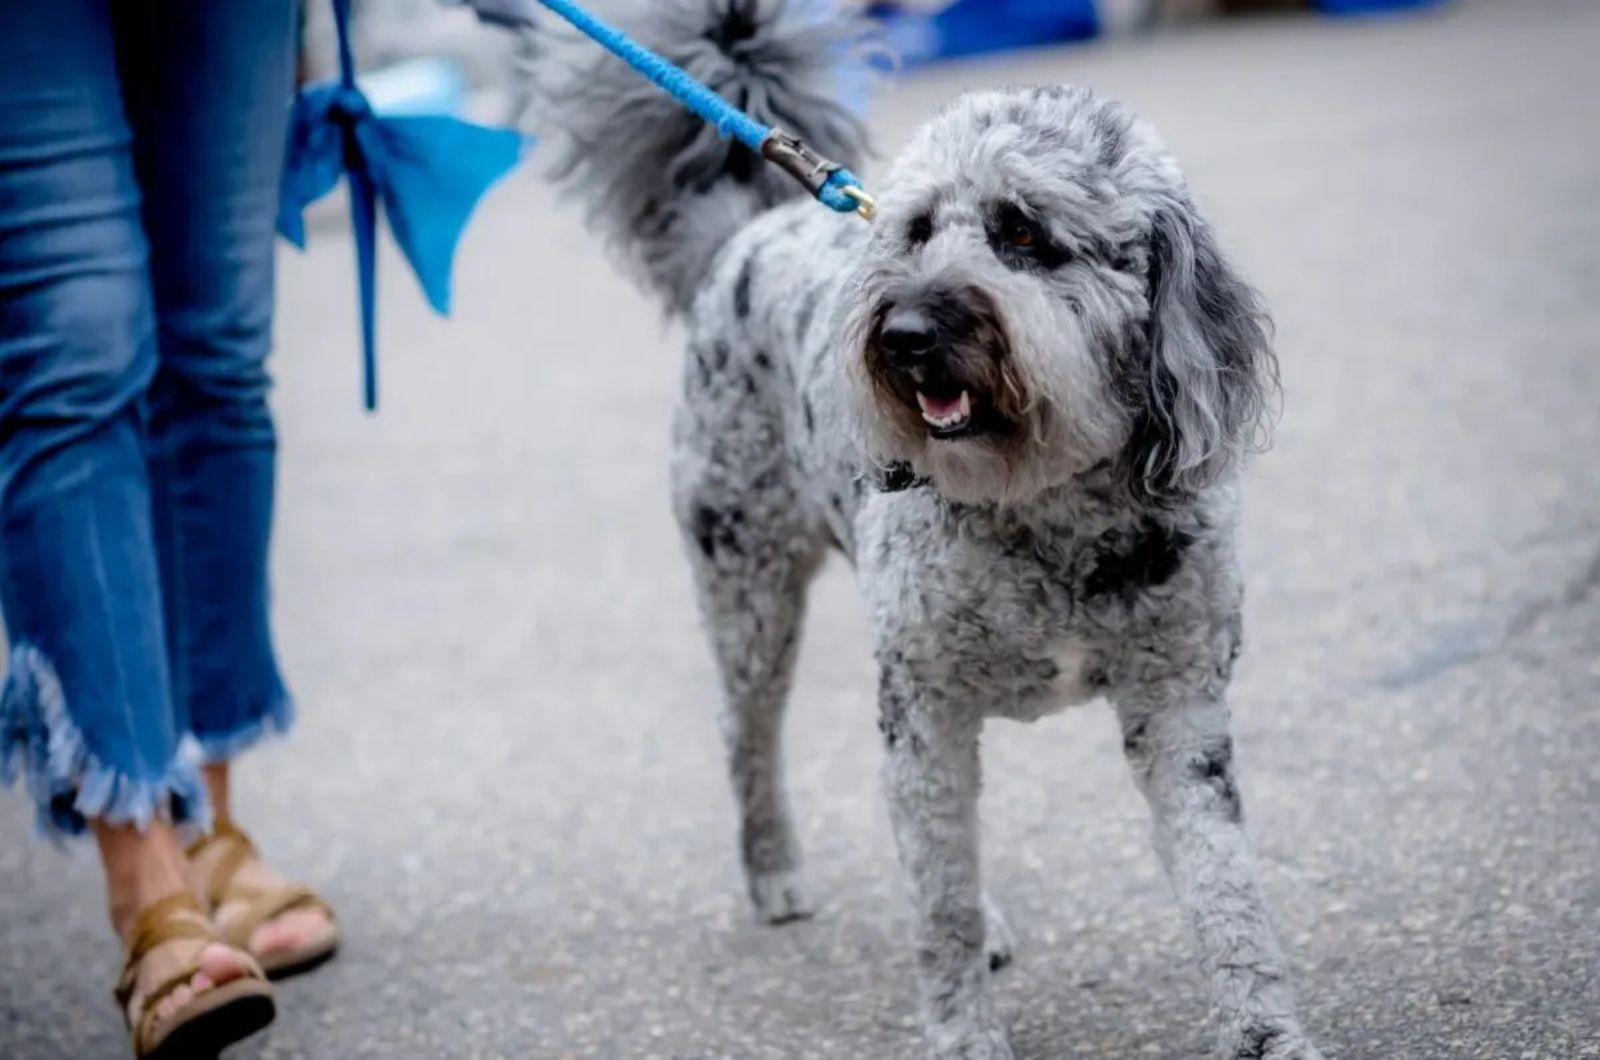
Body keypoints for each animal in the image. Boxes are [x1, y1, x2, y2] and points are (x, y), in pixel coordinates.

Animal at [531, 4, 1318, 1056]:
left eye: (1022, 230)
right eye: (913, 231)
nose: (904, 335)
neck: (1046, 507)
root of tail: (749, 233)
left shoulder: (1179, 703)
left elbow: (1224, 889)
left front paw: (1267, 1034)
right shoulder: (923, 708)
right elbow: (939, 902)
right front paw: (964, 1035)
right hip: (746, 589)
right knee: (748, 735)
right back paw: (774, 871)